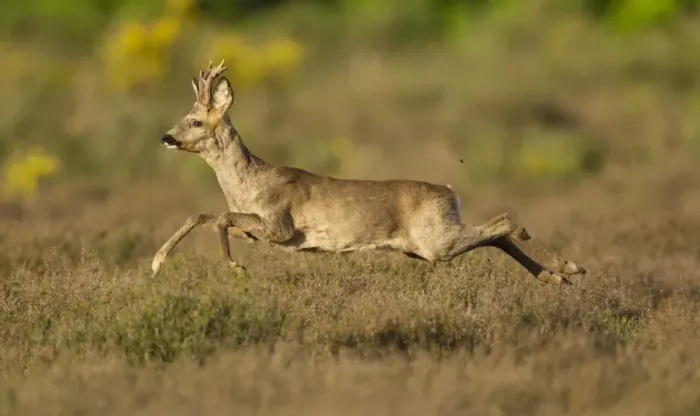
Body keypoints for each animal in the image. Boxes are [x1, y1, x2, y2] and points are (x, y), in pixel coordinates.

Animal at [151, 60, 587, 285]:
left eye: (194, 120)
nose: (166, 137)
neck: (247, 184)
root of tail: (450, 191)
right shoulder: (258, 229)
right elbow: (205, 215)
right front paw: (156, 263)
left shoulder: (280, 225)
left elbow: (220, 218)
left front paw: (234, 267)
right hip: (426, 244)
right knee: (497, 234)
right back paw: (555, 277)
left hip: (435, 240)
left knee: (505, 222)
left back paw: (570, 267)